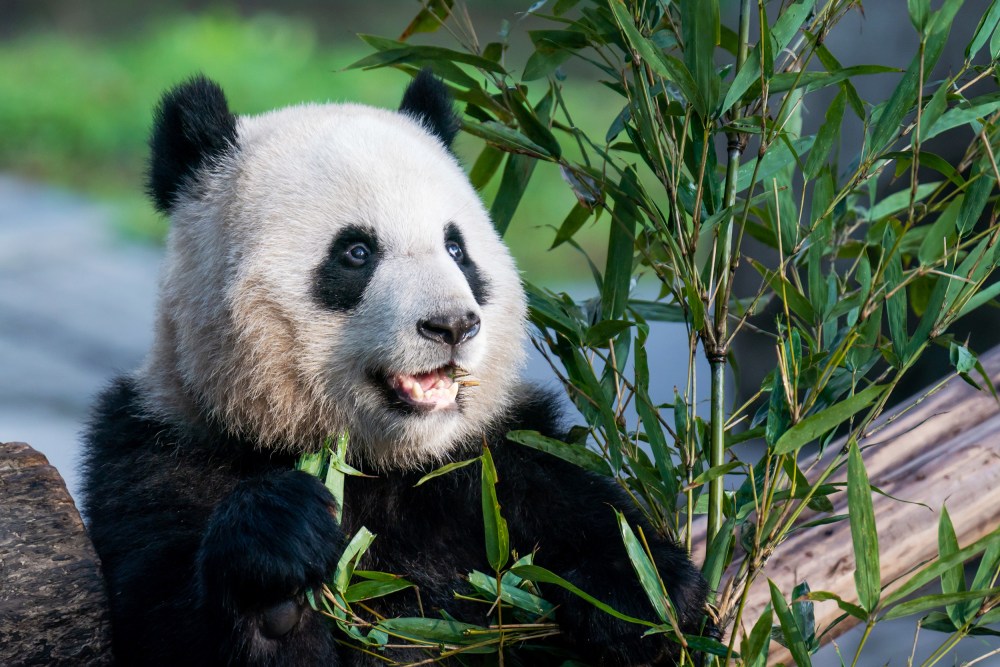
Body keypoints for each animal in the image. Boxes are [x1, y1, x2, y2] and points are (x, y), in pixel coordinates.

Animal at [84, 70, 712, 664]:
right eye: (357, 252)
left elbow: (614, 540)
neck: (386, 463)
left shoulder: (498, 461)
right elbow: (169, 619)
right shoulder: (164, 457)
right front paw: (276, 565)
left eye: (456, 249)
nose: (452, 325)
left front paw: (632, 595)